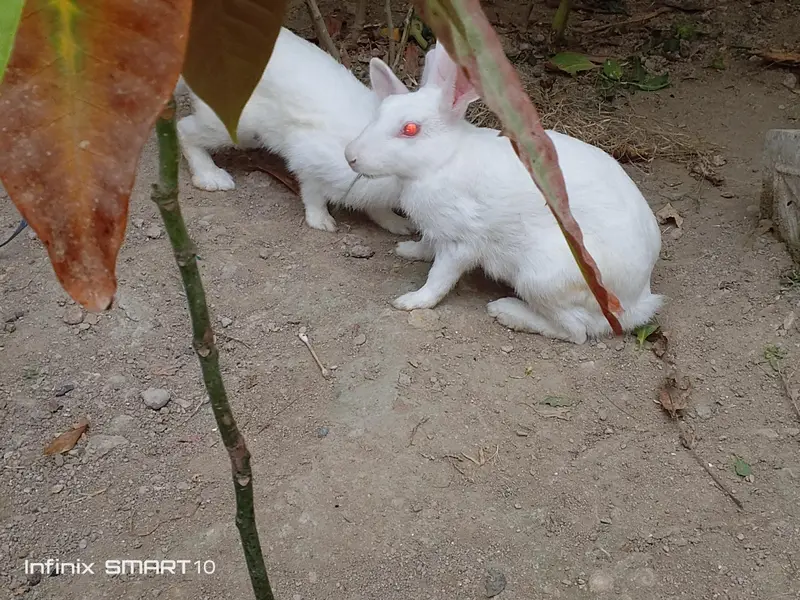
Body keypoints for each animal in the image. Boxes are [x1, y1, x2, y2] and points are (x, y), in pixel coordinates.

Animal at [175, 26, 413, 235]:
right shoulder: (310, 160)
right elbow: (312, 193)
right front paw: (322, 223)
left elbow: (378, 210)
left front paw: (399, 225)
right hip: (232, 125)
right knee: (184, 130)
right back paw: (212, 178)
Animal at [343, 43, 663, 344]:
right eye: (380, 114)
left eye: (410, 129)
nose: (350, 156)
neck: (444, 159)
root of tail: (637, 302)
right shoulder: (437, 232)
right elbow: (426, 247)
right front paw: (408, 250)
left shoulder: (460, 243)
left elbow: (439, 278)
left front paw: (412, 301)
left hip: (541, 277)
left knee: (576, 331)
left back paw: (506, 311)